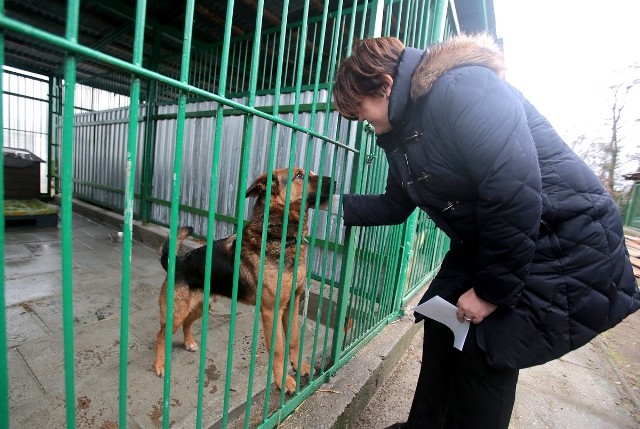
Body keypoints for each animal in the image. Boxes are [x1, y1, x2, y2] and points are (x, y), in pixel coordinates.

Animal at [155, 166, 336, 392]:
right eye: (300, 176)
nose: (336, 182)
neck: (279, 238)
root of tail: (178, 263)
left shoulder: (292, 303)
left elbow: (293, 339)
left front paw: (299, 365)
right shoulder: (271, 311)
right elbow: (278, 349)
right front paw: (283, 380)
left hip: (201, 307)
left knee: (187, 323)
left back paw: (189, 342)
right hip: (176, 312)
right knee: (161, 335)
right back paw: (159, 365)